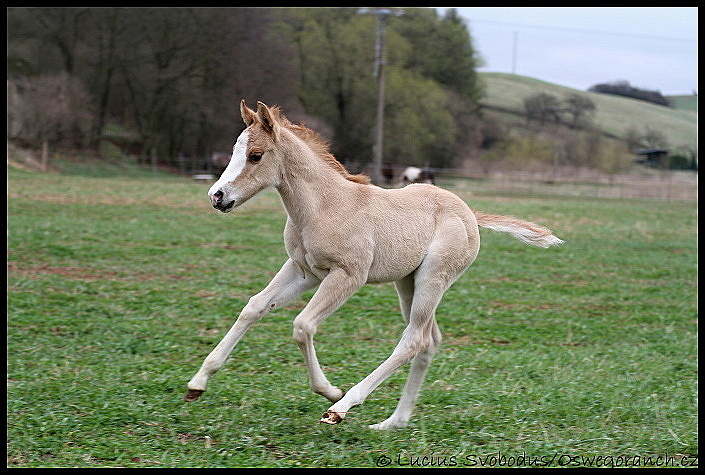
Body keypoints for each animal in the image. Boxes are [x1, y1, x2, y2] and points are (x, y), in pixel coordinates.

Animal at [184, 101, 564, 432]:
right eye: (234, 150)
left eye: (256, 156)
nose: (217, 196)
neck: (324, 205)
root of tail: (469, 211)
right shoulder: (303, 270)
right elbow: (254, 307)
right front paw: (198, 383)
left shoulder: (348, 276)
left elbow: (302, 325)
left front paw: (330, 391)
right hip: (408, 282)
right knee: (429, 341)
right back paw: (393, 422)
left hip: (434, 279)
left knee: (413, 339)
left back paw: (342, 407)